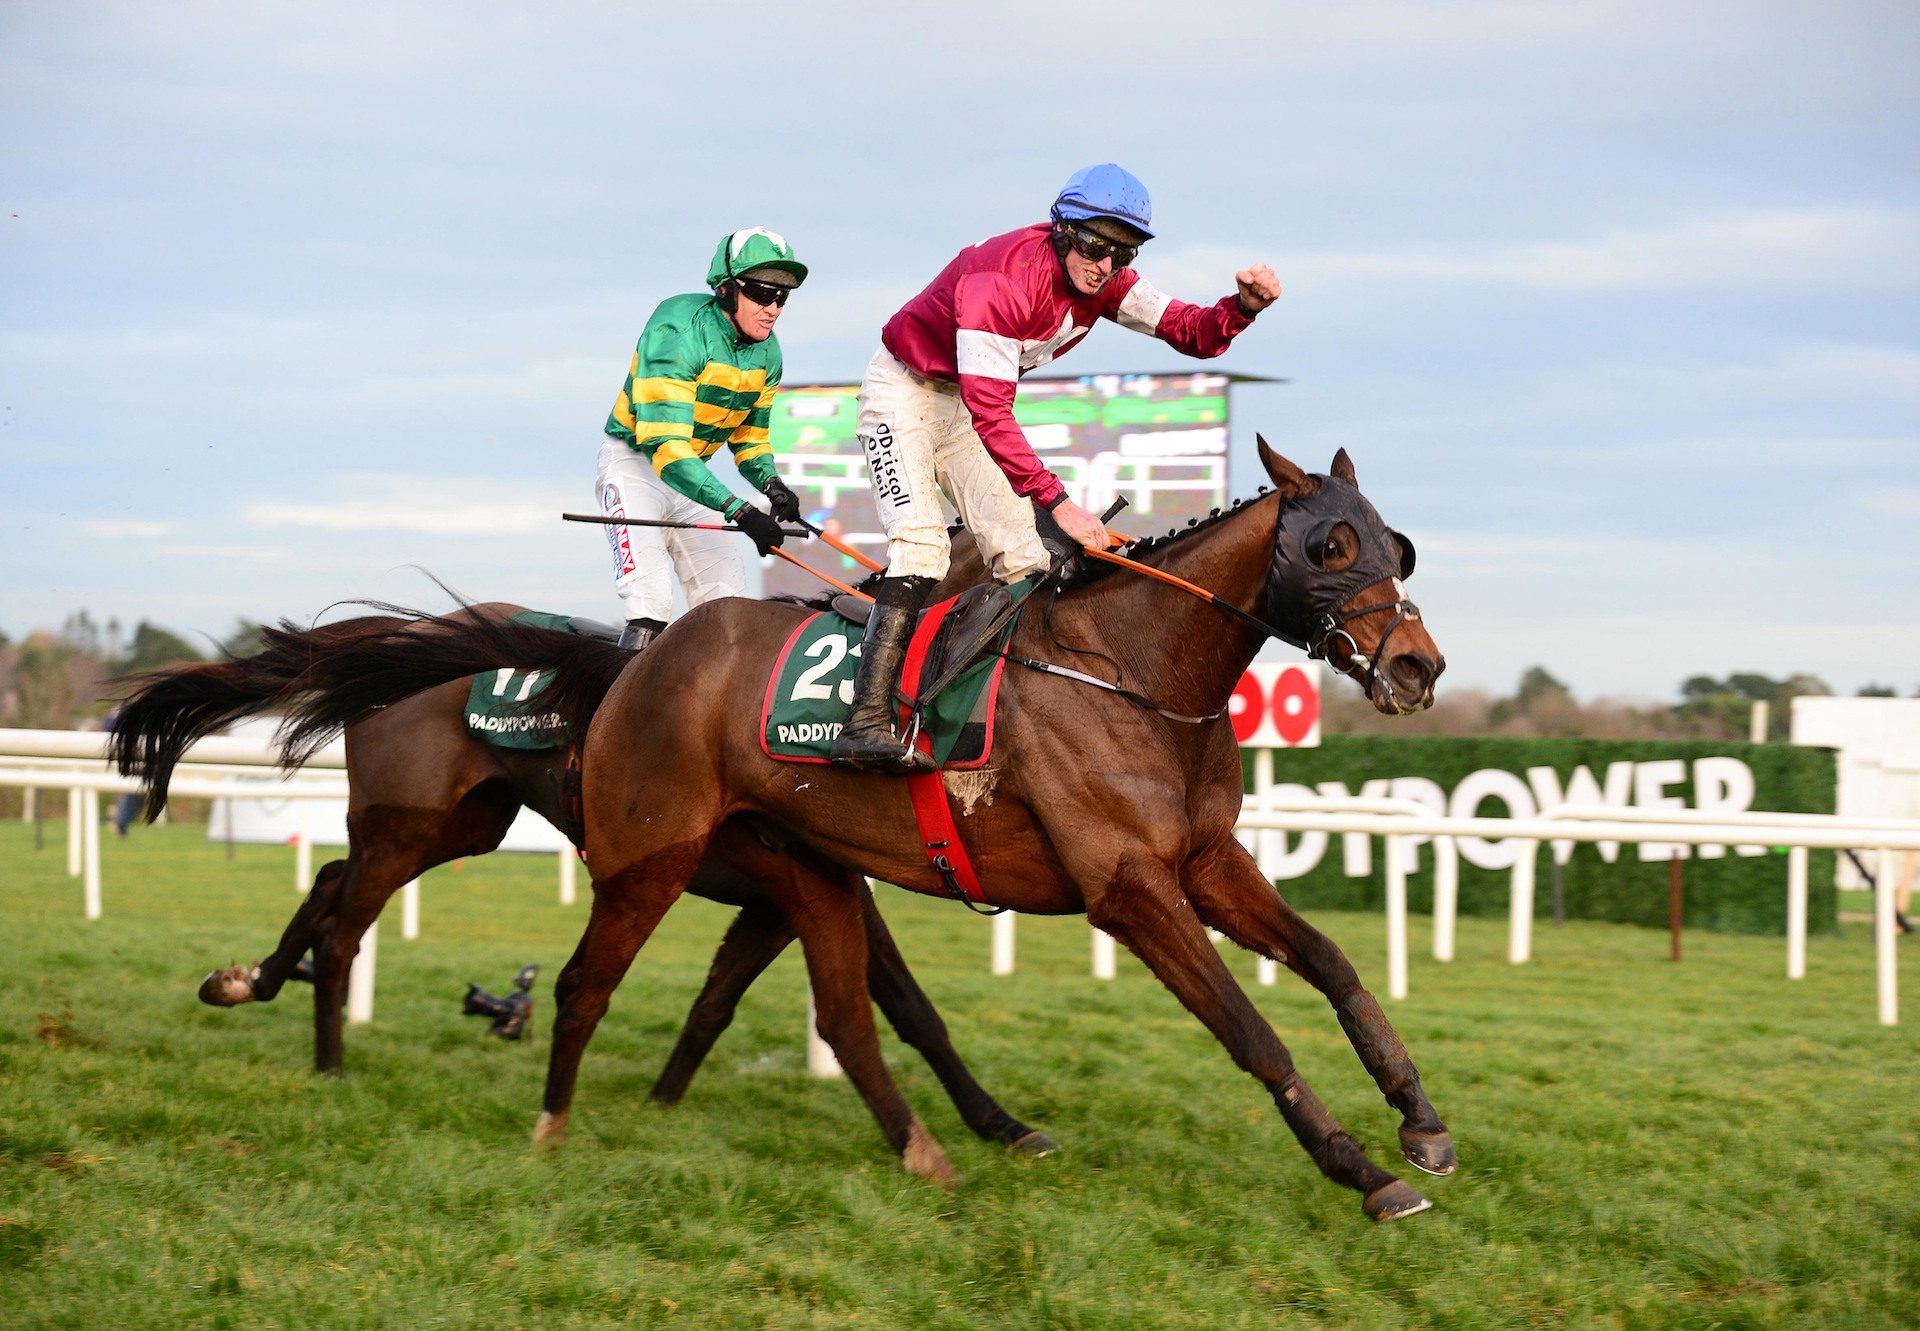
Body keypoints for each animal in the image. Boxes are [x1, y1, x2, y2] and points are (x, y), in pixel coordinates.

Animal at [259, 441, 1451, 1221]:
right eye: (1329, 542)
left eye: (1398, 544)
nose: (1417, 664)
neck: (1130, 668)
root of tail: (644, 662)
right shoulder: (1127, 886)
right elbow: (1249, 1029)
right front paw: (1361, 1170)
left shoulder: (1205, 859)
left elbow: (1336, 966)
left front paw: (1420, 1121)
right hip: (569, 841)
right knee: (453, 938)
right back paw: (446, 1090)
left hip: (770, 862)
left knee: (837, 1013)